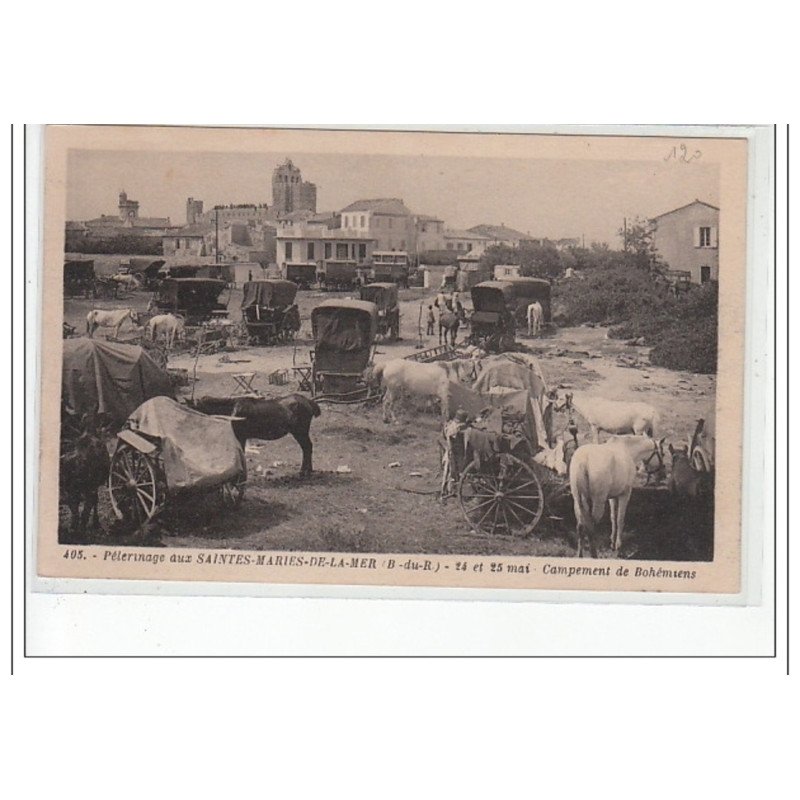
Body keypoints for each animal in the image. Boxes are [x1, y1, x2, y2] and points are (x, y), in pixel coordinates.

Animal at [189, 392, 320, 476]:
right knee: (307, 447)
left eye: (194, 407)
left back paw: (304, 471)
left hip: (300, 431)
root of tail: (310, 402)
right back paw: (308, 470)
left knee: (307, 447)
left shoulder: (240, 435)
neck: (231, 409)